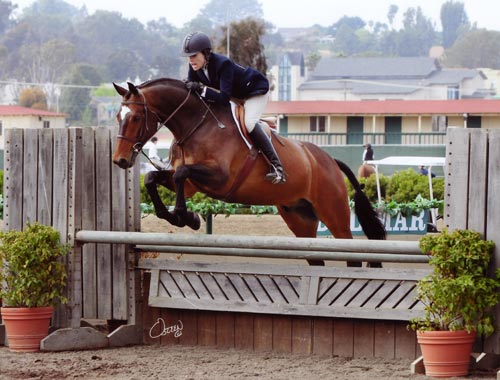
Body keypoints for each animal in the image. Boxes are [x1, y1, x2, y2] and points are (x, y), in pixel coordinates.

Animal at [112, 78, 386, 266]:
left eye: (136, 118)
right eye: (117, 116)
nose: (120, 160)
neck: (196, 125)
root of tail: (329, 159)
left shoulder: (220, 178)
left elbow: (180, 175)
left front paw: (184, 216)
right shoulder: (190, 184)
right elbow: (153, 177)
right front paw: (181, 216)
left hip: (334, 212)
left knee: (350, 252)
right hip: (300, 218)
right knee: (315, 257)